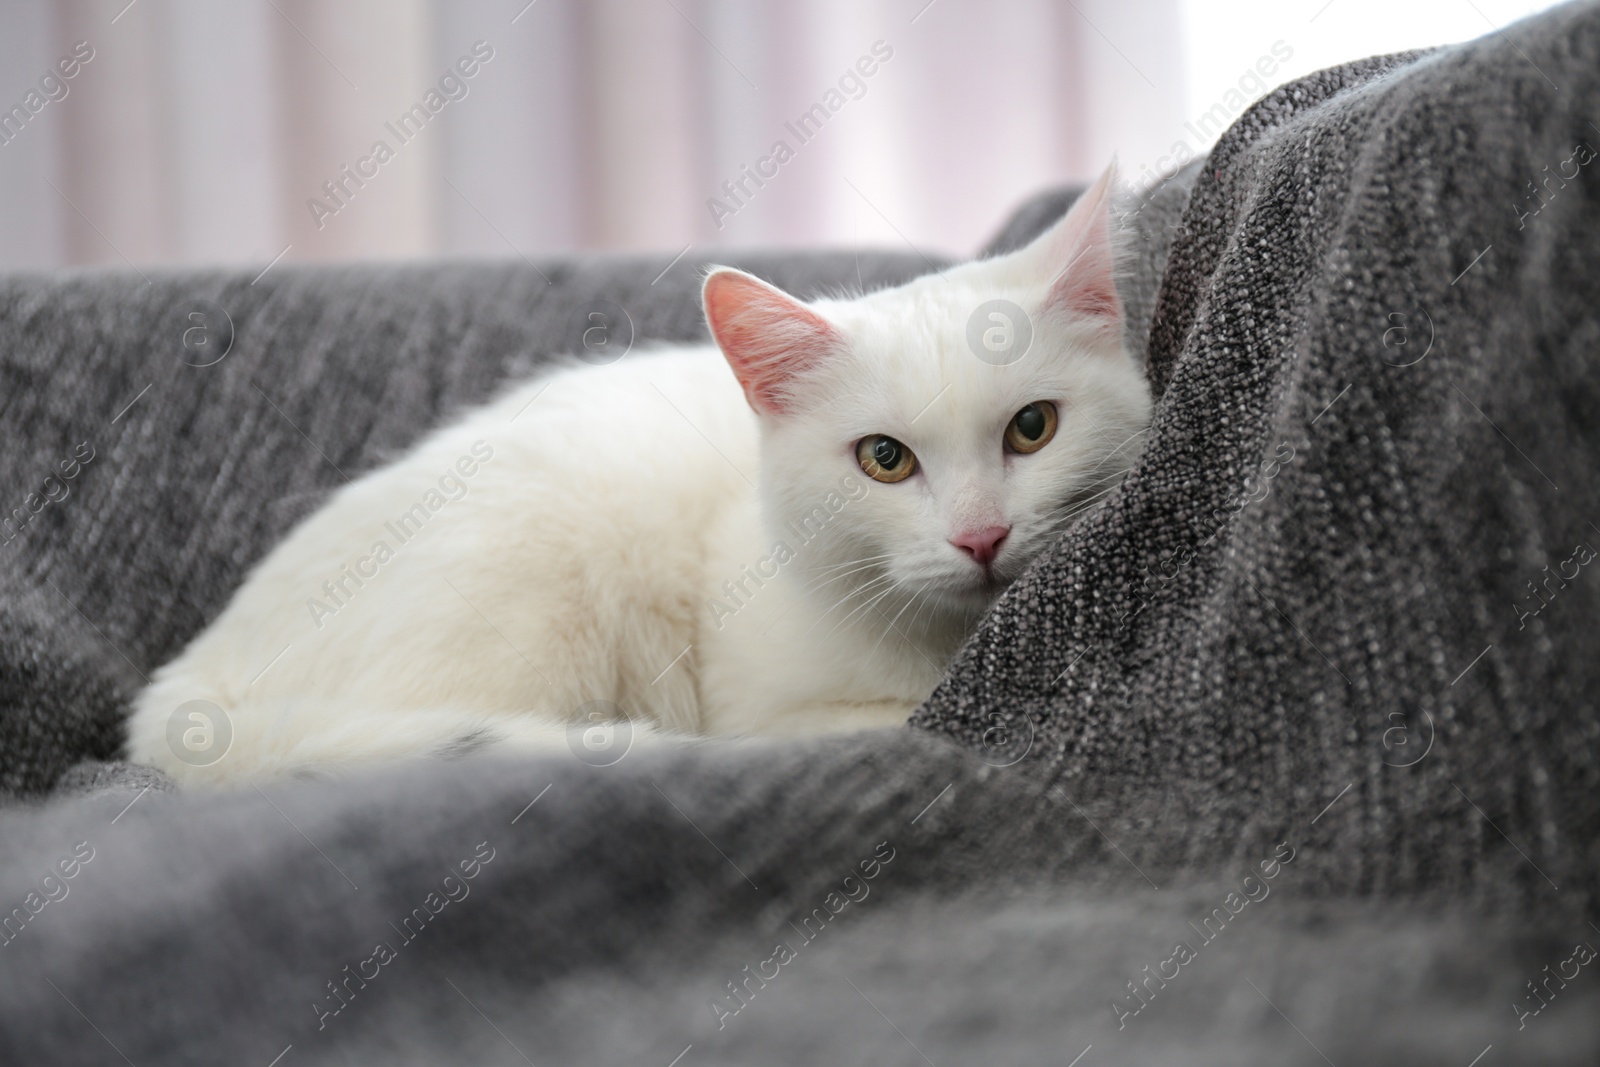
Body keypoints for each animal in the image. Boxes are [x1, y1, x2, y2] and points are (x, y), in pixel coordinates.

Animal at [128, 164, 1152, 783]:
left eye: (1033, 427)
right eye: (884, 459)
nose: (982, 536)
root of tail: (201, 671)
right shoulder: (761, 709)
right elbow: (868, 720)